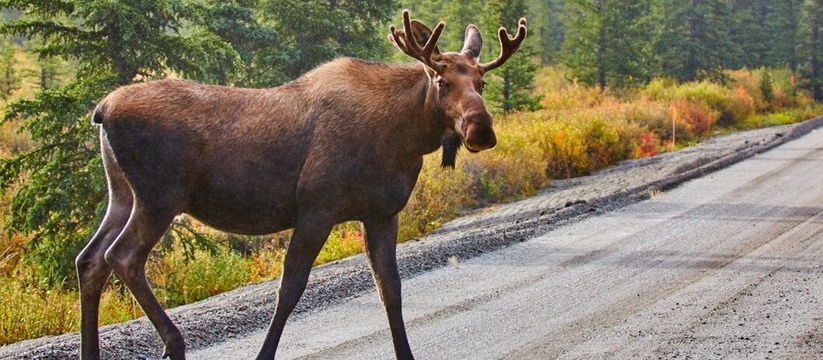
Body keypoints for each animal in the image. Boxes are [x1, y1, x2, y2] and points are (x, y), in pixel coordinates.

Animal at [77, 9, 528, 358]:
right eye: (441, 81)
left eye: (482, 83)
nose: (481, 129)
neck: (404, 135)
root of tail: (101, 110)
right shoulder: (316, 208)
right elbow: (290, 288)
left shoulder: (382, 213)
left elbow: (391, 289)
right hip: (160, 197)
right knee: (122, 257)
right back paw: (175, 342)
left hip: (122, 194)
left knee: (91, 259)